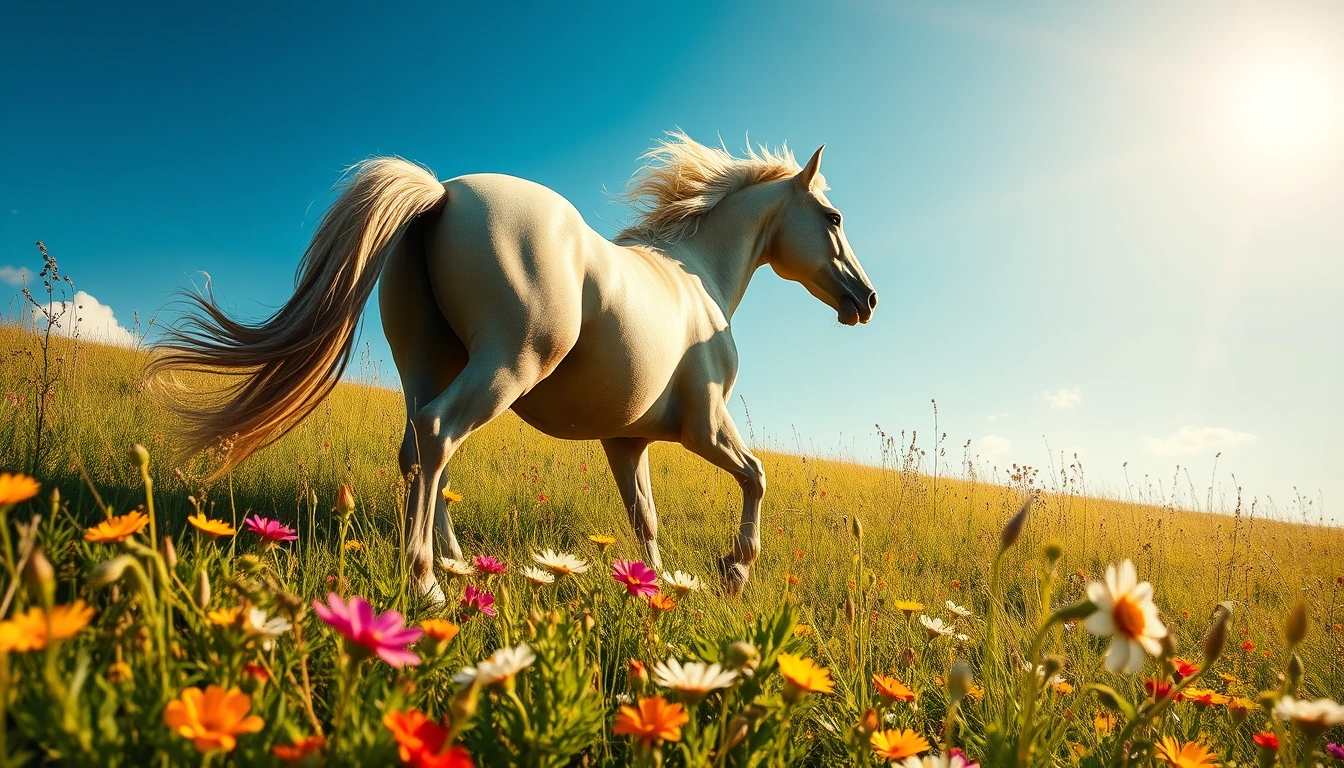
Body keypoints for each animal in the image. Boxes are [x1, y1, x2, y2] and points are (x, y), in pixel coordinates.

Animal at [150, 131, 878, 600]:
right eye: (834, 216)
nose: (865, 300)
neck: (696, 278)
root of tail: (441, 194)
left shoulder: (627, 442)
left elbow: (646, 520)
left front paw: (657, 590)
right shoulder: (706, 425)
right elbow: (756, 477)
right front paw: (735, 569)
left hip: (429, 366)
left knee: (421, 453)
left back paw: (456, 564)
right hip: (506, 365)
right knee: (440, 434)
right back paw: (427, 583)